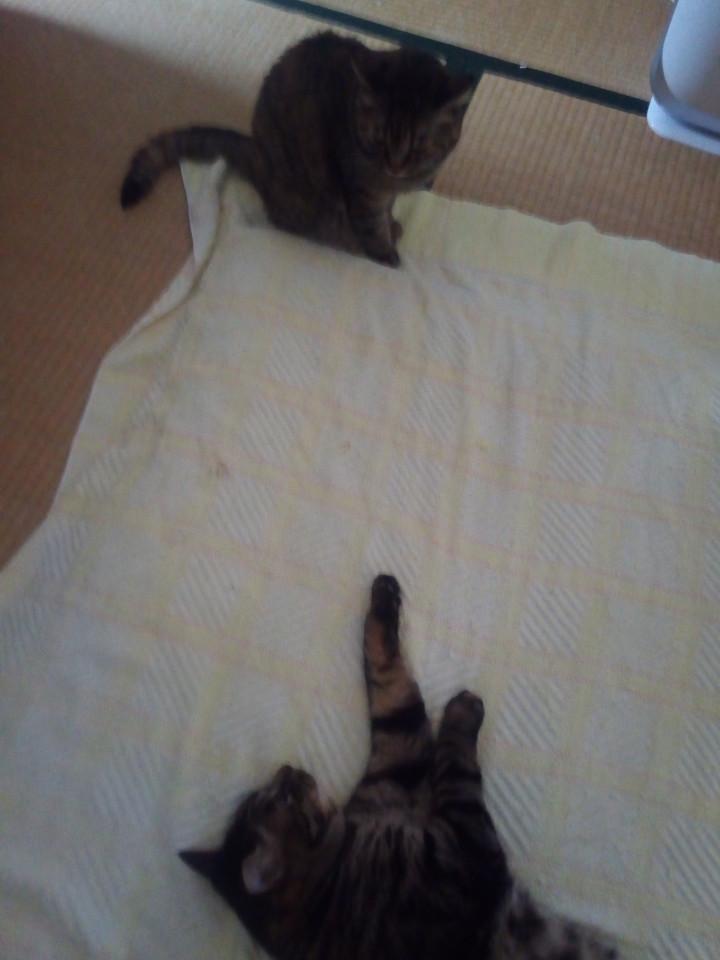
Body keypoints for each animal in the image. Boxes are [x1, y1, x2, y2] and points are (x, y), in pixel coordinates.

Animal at [120, 32, 474, 267]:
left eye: (420, 144)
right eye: (378, 138)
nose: (395, 166)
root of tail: (257, 151)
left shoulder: (386, 192)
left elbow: (386, 212)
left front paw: (393, 224)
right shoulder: (363, 192)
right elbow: (372, 226)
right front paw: (386, 253)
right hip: (304, 201)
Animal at [180, 573, 620, 960]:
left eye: (268, 792)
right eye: (283, 797)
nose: (289, 770)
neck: (331, 877)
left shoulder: (397, 767)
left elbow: (388, 680)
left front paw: (383, 599)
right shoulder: (465, 848)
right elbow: (456, 768)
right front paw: (463, 709)